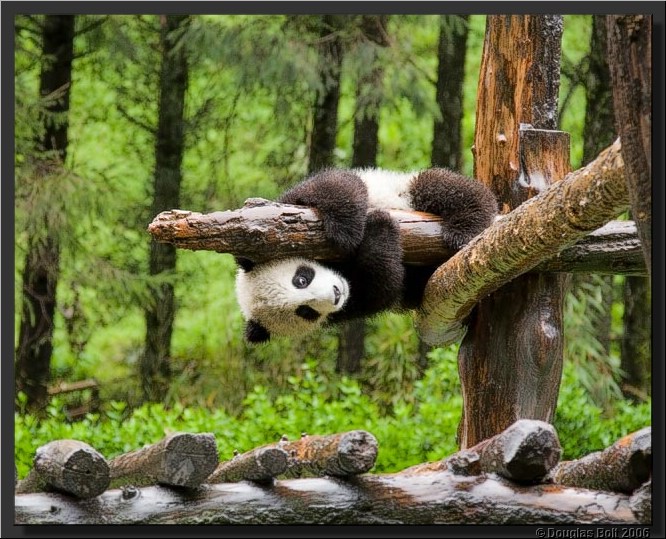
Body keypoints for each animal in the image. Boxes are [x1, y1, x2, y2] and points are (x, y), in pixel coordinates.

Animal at [235, 168, 498, 343]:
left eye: (301, 279)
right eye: (305, 312)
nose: (336, 293)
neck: (342, 274)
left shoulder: (284, 213)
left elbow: (335, 185)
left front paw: (346, 231)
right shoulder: (351, 307)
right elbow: (383, 285)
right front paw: (379, 226)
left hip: (405, 191)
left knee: (443, 187)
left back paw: (464, 229)